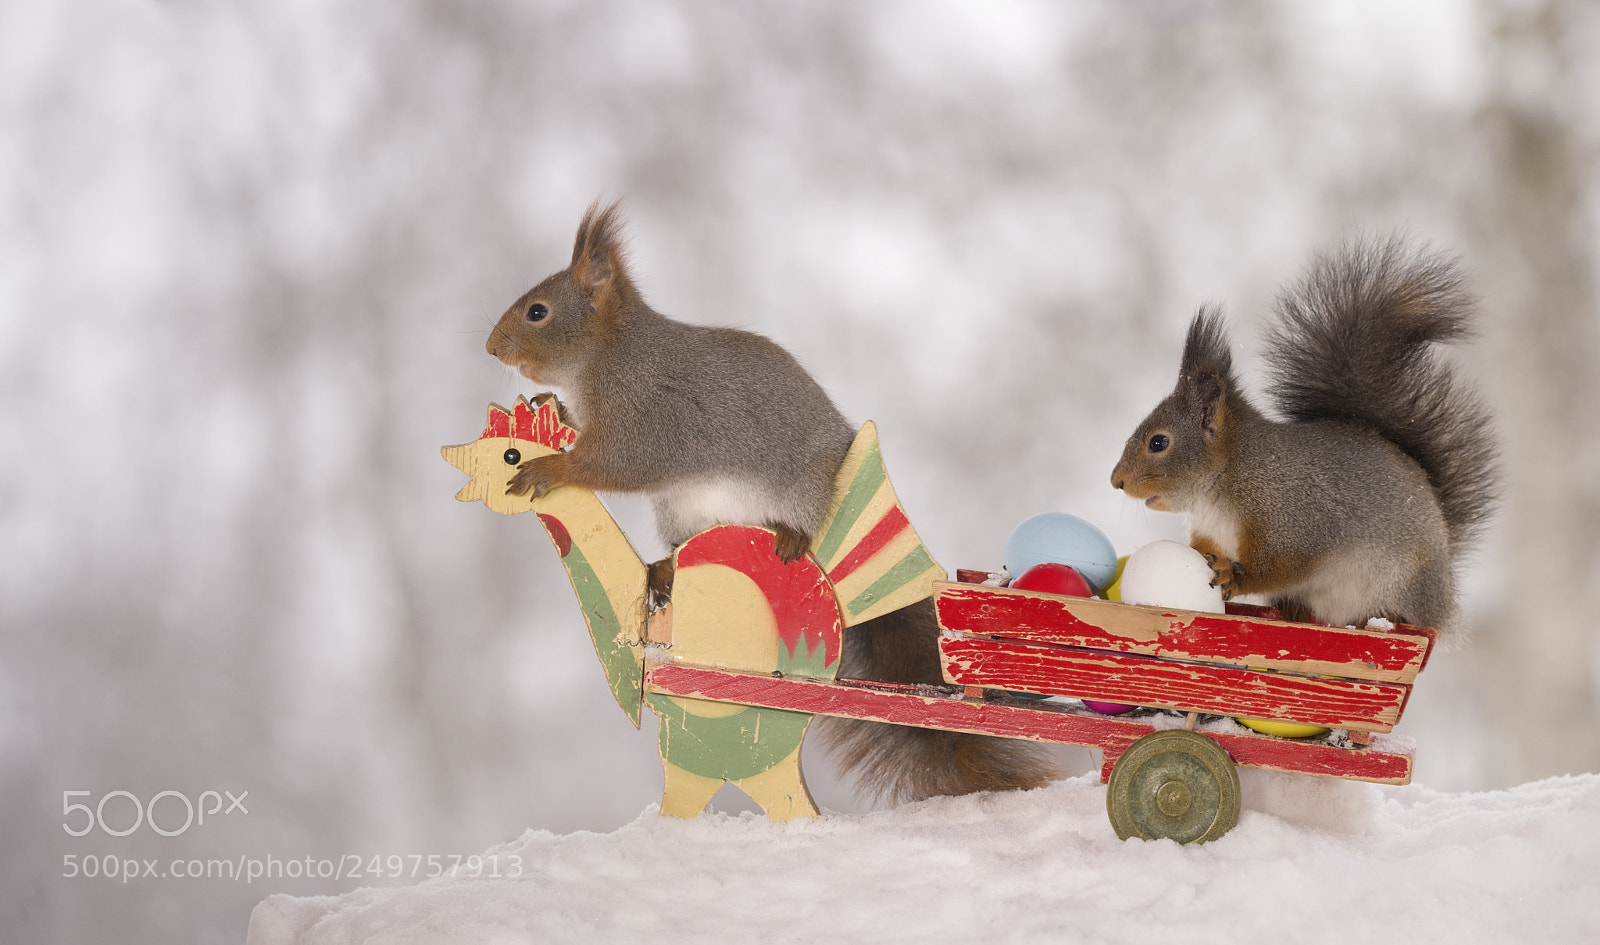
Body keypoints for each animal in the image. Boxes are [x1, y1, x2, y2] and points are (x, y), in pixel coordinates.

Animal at [487, 200, 1057, 803]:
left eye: (537, 312)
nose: (490, 348)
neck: (608, 355)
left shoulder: (651, 418)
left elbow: (616, 465)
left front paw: (548, 467)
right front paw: (548, 408)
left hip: (799, 490)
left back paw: (789, 536)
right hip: (681, 513)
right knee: (683, 548)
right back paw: (664, 568)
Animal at [1110, 238, 1499, 634]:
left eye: (1159, 442)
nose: (1117, 481)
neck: (1224, 480)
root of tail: (1444, 584)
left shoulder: (1294, 520)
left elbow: (1283, 565)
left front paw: (1235, 577)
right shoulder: (1210, 532)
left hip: (1405, 588)